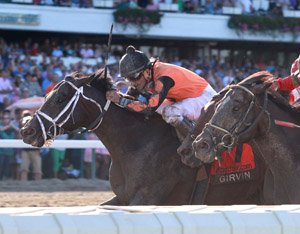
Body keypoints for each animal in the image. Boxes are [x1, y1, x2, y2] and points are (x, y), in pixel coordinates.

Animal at [20, 69, 264, 205]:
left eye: (60, 98)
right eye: (47, 95)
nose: (26, 130)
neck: (137, 142)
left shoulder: (147, 198)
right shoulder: (123, 198)